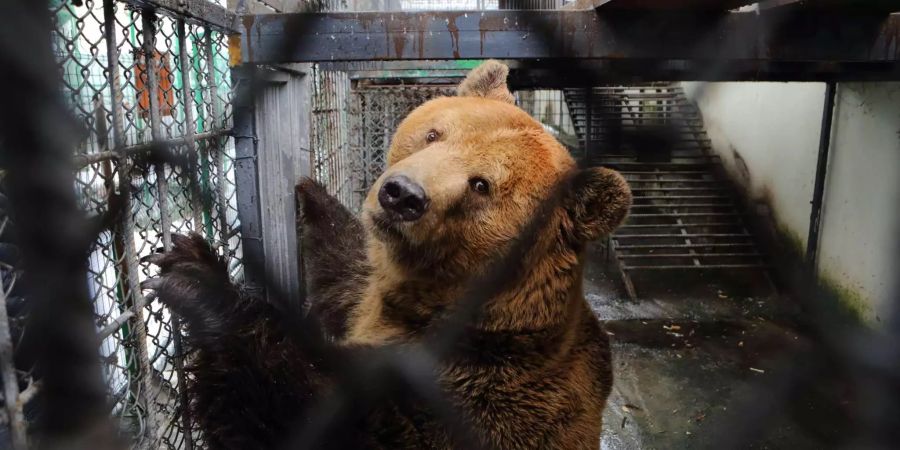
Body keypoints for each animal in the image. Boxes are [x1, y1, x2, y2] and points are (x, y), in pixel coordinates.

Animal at [144, 60, 628, 450]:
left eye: (481, 185)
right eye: (433, 134)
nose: (402, 194)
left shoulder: (475, 394)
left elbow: (315, 417)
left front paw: (197, 278)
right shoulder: (371, 298)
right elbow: (345, 271)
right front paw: (310, 193)